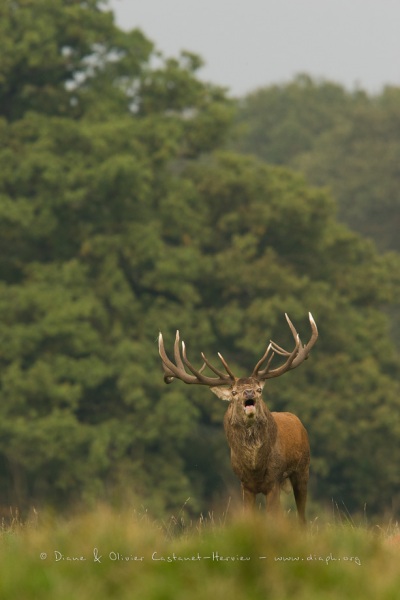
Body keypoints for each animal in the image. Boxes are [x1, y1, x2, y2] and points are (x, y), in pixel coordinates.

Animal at [158, 312, 318, 524]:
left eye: (259, 389)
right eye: (234, 392)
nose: (248, 392)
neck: (255, 466)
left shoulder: (273, 480)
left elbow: (274, 517)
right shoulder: (244, 484)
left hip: (303, 469)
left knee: (301, 514)